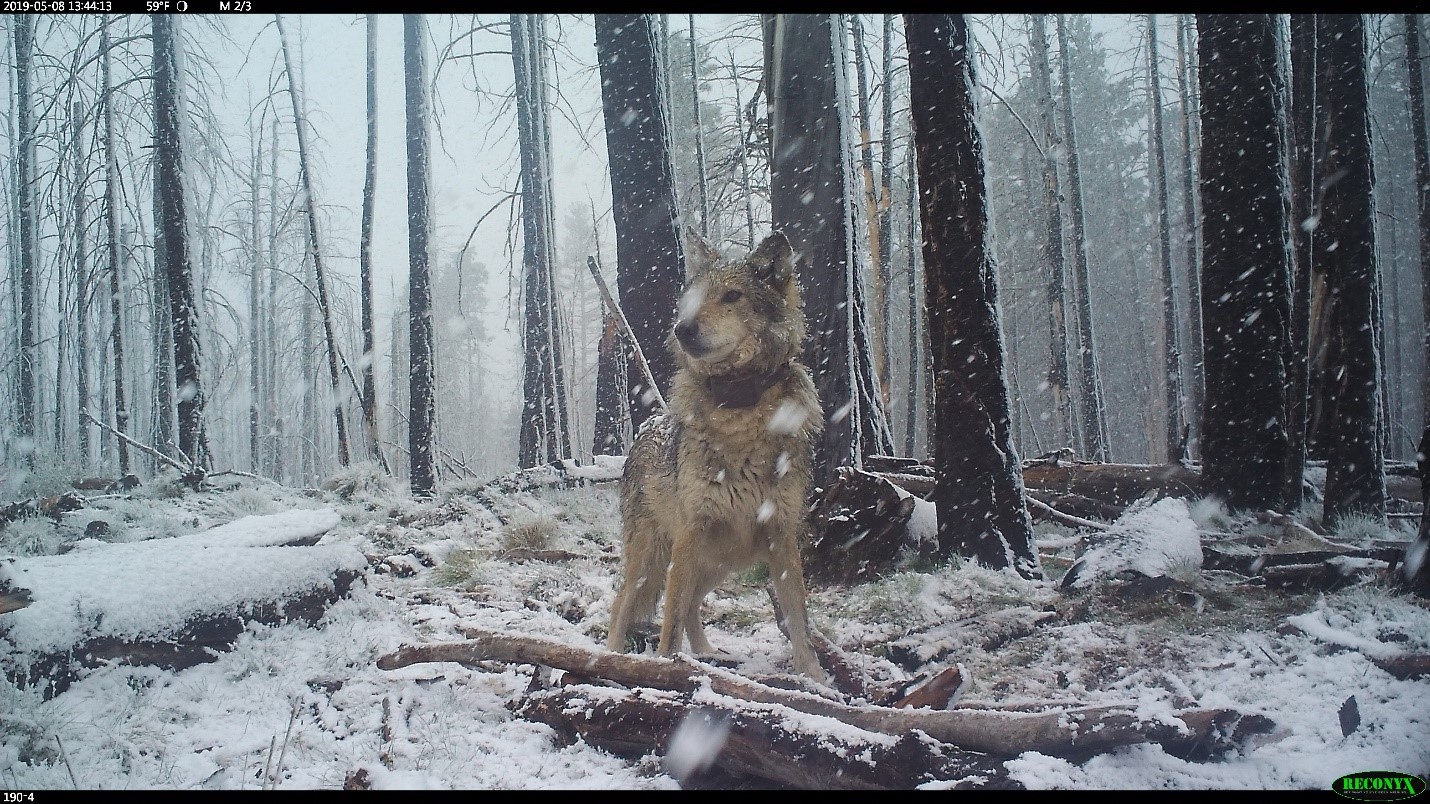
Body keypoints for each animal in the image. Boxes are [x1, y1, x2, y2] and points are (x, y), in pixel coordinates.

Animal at [606, 230, 829, 675]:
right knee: (624, 605)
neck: (739, 405)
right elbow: (670, 620)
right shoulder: (691, 534)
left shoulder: (782, 536)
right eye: (692, 301)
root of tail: (644, 428)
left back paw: (709, 655)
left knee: (692, 604)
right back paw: (609, 656)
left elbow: (800, 621)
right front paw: (663, 668)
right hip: (654, 556)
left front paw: (817, 680)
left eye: (732, 296)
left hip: (721, 561)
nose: (682, 329)